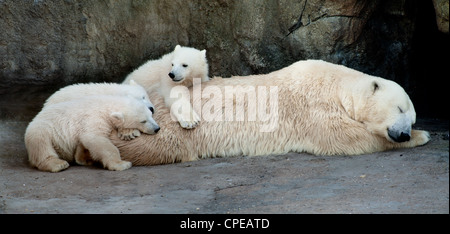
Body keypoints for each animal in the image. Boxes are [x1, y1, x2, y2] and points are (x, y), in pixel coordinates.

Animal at [25, 94, 160, 172]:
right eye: (143, 121)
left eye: (151, 114)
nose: (157, 128)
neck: (107, 106)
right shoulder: (94, 118)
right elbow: (96, 138)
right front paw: (121, 164)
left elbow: (83, 140)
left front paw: (83, 158)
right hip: (41, 130)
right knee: (42, 146)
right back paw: (58, 164)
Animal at [109, 59, 428, 166]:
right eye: (400, 108)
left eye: (410, 116)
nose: (403, 133)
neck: (337, 85)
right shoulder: (311, 103)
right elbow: (343, 137)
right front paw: (423, 136)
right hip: (165, 122)